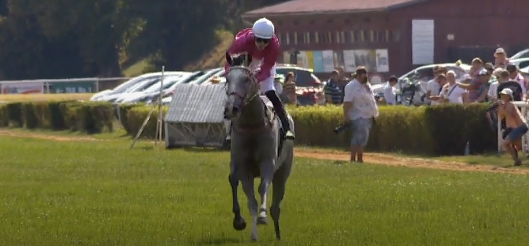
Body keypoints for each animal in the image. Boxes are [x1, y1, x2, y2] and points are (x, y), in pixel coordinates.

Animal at [224, 52, 294, 241]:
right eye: (227, 79)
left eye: (246, 79)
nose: (231, 108)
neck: (251, 124)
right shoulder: (243, 167)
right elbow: (251, 201)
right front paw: (252, 232)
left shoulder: (268, 163)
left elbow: (263, 187)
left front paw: (263, 217)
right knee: (233, 180)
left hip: (284, 170)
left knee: (277, 203)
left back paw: (278, 233)